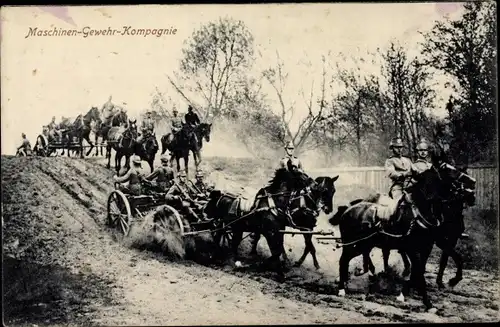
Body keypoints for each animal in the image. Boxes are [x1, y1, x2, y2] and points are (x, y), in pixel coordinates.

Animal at [205, 169, 338, 280]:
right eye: (324, 191)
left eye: (334, 191)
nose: (328, 209)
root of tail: (221, 195)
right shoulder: (273, 231)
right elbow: (280, 250)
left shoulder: (293, 228)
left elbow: (291, 247)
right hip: (229, 225)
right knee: (225, 239)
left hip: (236, 227)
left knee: (232, 241)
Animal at [328, 158, 464, 312]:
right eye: (448, 170)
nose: (463, 187)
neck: (418, 212)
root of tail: (348, 209)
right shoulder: (412, 249)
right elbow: (419, 273)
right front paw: (426, 302)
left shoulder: (427, 247)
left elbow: (422, 270)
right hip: (352, 243)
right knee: (343, 260)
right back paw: (342, 289)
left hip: (363, 244)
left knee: (351, 259)